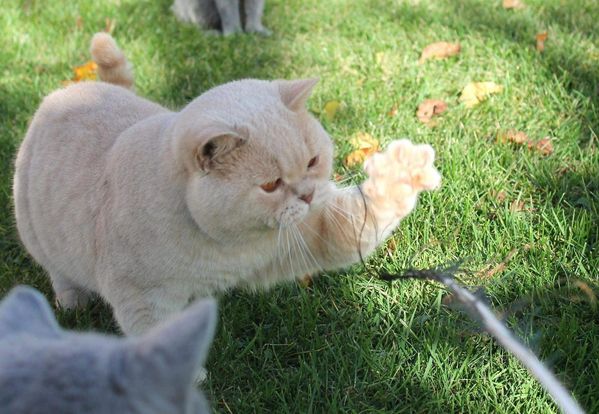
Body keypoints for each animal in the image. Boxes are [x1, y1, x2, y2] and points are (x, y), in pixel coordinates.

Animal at [14, 34, 440, 334]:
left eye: (313, 161)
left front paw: (405, 171)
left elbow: (362, 219)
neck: (227, 248)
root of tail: (74, 89)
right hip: (38, 235)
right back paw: (72, 301)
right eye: (270, 185)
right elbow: (158, 334)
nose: (307, 193)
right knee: (58, 271)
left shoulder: (309, 233)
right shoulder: (142, 298)